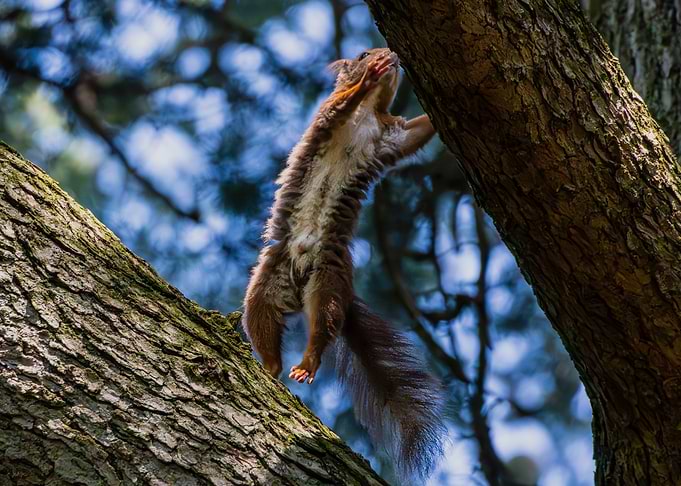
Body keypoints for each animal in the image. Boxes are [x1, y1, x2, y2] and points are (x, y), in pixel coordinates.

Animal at [242, 48, 446, 477]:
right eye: (362, 53)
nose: (388, 56)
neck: (369, 113)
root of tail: (300, 286)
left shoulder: (392, 134)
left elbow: (416, 132)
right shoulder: (326, 115)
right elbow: (339, 105)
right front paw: (368, 77)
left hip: (328, 283)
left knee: (324, 325)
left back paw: (306, 363)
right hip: (269, 284)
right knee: (263, 322)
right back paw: (272, 365)